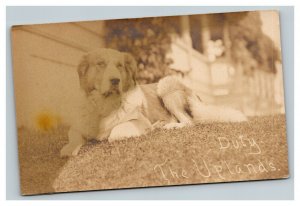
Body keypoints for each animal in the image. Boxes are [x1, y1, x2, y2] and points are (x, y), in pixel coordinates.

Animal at [60, 48, 246, 157]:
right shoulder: (77, 125)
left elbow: (114, 133)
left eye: (120, 66)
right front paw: (69, 149)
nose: (115, 80)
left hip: (165, 84)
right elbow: (73, 136)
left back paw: (170, 126)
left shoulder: (137, 121)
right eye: (100, 64)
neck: (105, 105)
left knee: (188, 121)